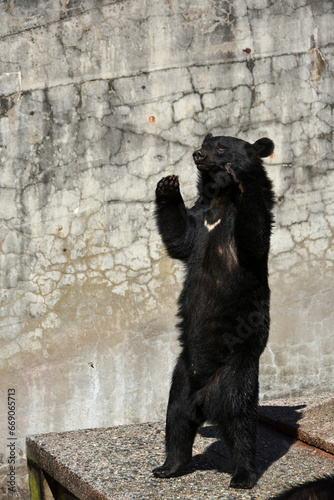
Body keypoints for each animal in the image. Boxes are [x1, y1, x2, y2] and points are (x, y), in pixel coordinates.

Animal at [153, 132, 276, 488]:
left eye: (221, 147)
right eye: (205, 142)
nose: (198, 154)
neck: (220, 201)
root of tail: (205, 402)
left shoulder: (248, 227)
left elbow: (253, 235)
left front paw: (241, 179)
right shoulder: (199, 223)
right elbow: (179, 237)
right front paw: (167, 185)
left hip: (236, 377)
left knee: (241, 424)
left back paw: (243, 475)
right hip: (181, 379)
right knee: (176, 422)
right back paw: (168, 466)